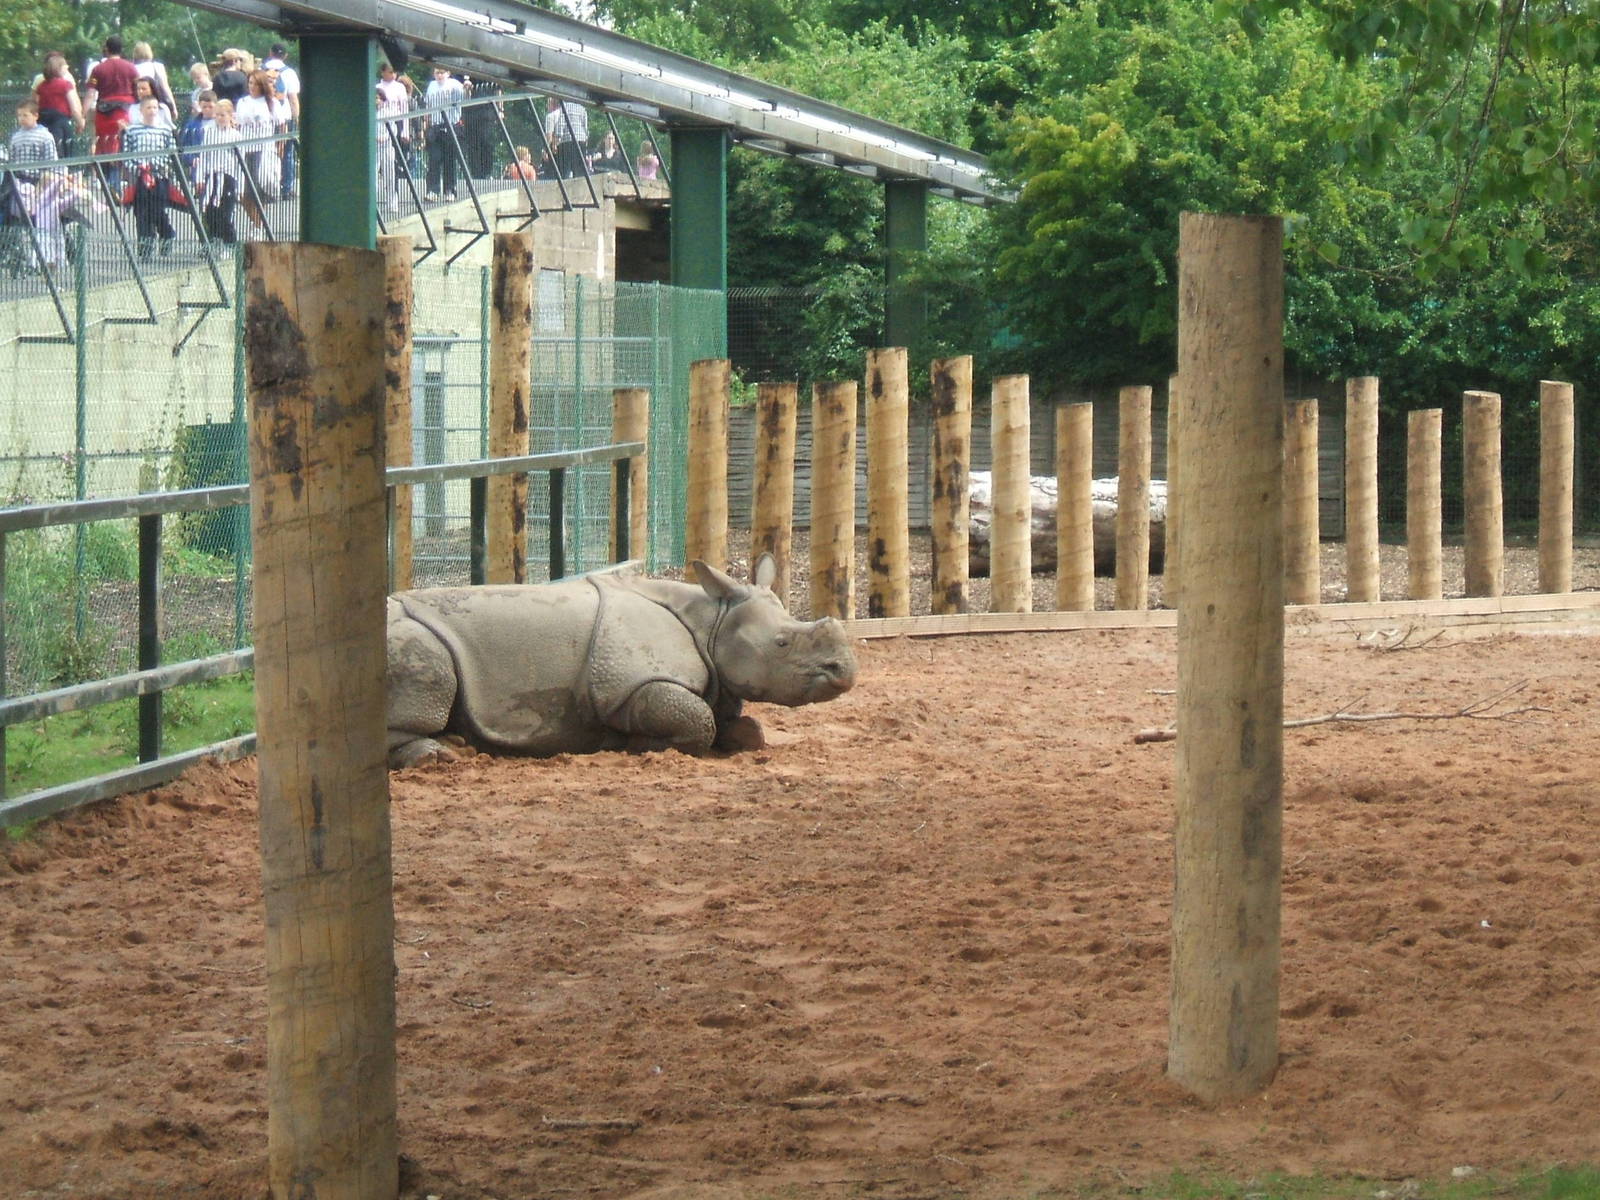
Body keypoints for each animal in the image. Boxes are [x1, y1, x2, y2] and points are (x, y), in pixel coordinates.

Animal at [385, 554, 857, 767]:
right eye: (782, 643)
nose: (845, 672)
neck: (712, 619)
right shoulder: (628, 683)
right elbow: (695, 720)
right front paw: (639, 746)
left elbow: (740, 726)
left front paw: (740, 737)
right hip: (405, 639)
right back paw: (442, 757)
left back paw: (457, 744)